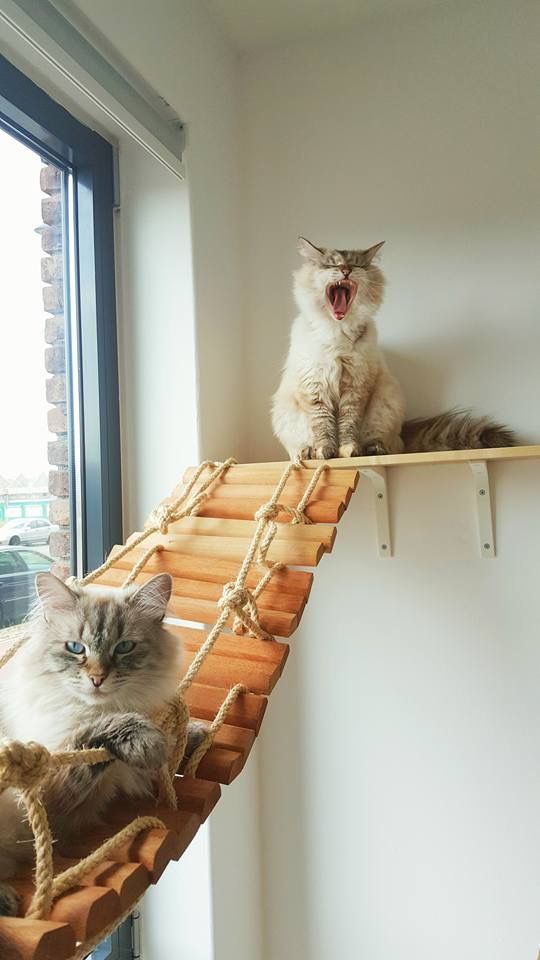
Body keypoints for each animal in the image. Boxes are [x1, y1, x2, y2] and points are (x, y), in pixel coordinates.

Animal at [0, 572, 205, 920]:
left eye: (124, 647)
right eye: (75, 648)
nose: (97, 678)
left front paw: (194, 733)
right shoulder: (48, 795)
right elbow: (97, 734)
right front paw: (149, 742)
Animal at [272, 234, 512, 456]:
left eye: (357, 265)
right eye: (332, 265)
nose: (346, 270)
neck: (338, 331)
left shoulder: (356, 386)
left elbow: (348, 424)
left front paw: (348, 451)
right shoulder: (315, 386)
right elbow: (323, 425)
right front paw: (325, 452)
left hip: (386, 402)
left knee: (389, 443)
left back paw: (372, 449)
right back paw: (307, 452)